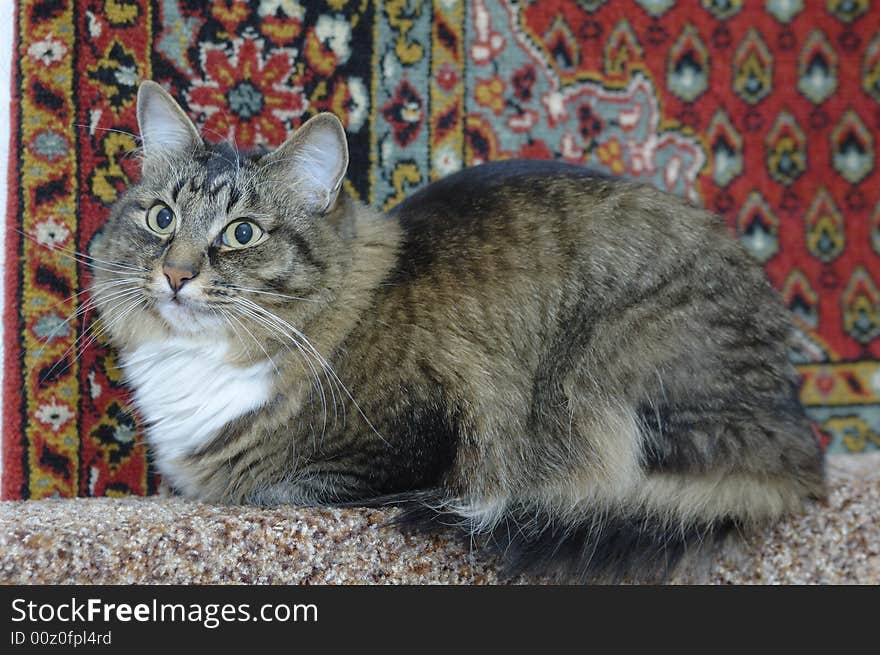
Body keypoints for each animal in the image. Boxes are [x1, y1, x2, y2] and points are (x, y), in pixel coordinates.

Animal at [89, 82, 824, 584]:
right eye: (160, 218)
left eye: (241, 233)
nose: (176, 274)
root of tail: (799, 442)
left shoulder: (409, 445)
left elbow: (271, 486)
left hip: (611, 366)